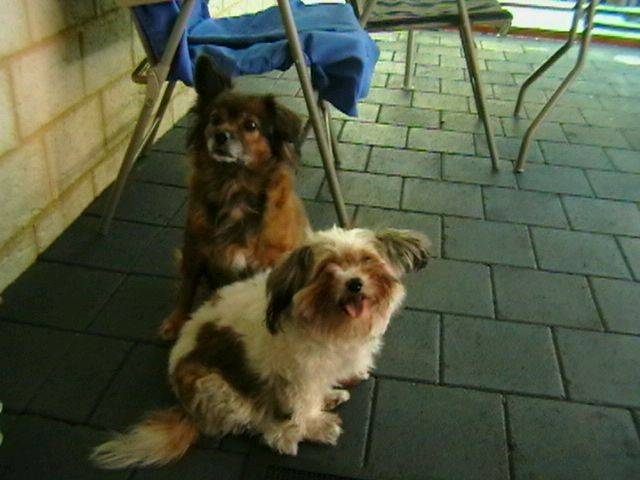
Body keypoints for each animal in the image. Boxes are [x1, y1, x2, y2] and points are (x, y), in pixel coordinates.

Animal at [91, 226, 429, 469]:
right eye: (327, 269)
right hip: (215, 385)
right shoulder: (298, 377)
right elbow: (303, 406)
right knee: (257, 422)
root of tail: (186, 408)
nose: (355, 283)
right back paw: (294, 433)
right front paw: (313, 425)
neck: (329, 325)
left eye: (367, 260)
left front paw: (331, 393)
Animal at [160, 55, 311, 340]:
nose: (220, 136)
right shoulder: (194, 248)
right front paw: (176, 322)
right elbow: (186, 288)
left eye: (251, 125)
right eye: (215, 119)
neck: (233, 184)